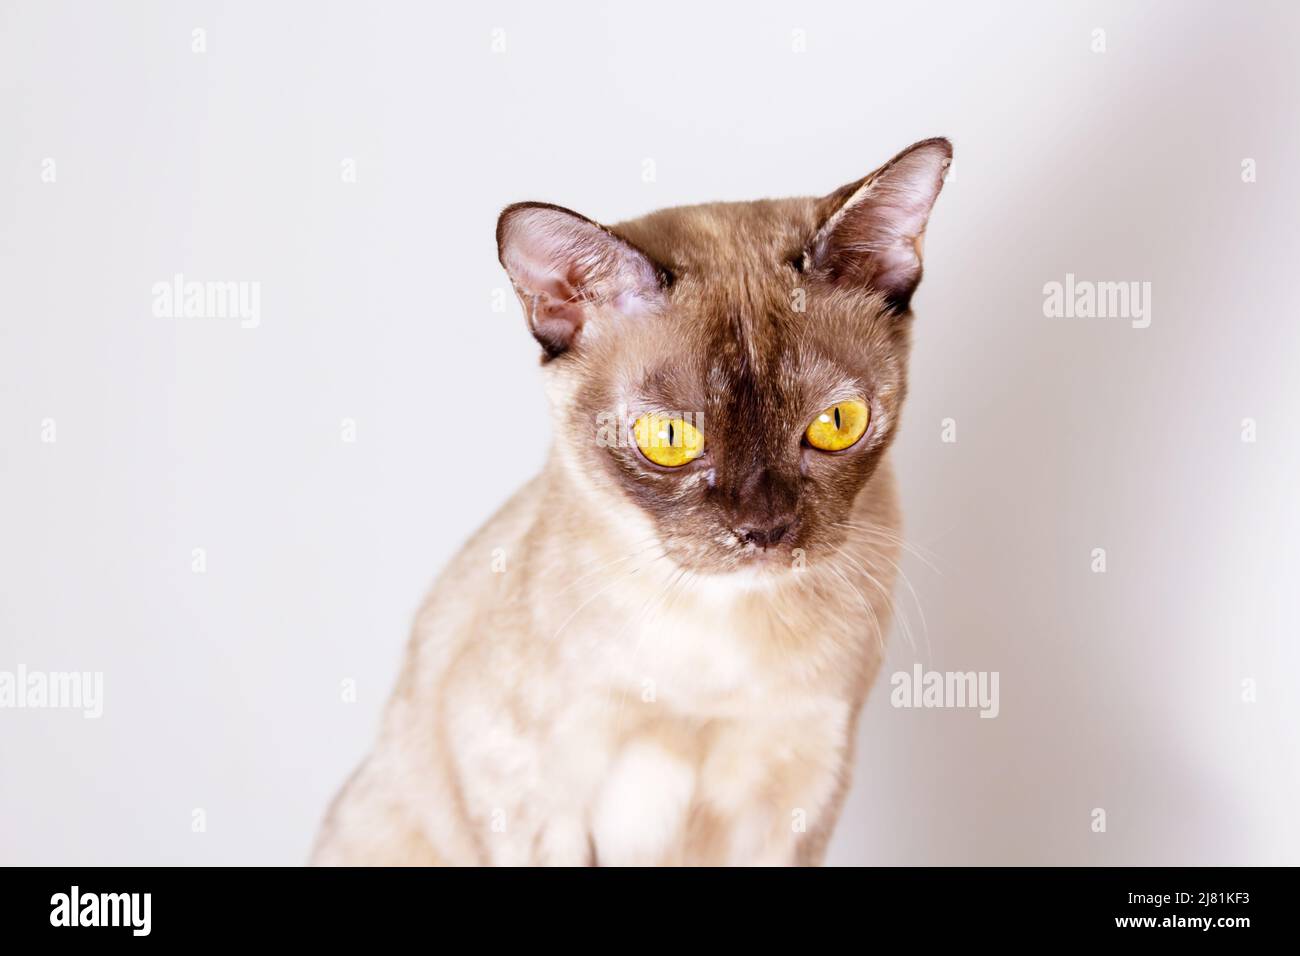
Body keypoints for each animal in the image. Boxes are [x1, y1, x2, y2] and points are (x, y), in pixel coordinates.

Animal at [309, 136, 951, 868]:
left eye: (836, 424)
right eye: (669, 439)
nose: (764, 530)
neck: (715, 645)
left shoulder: (796, 799)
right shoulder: (529, 797)